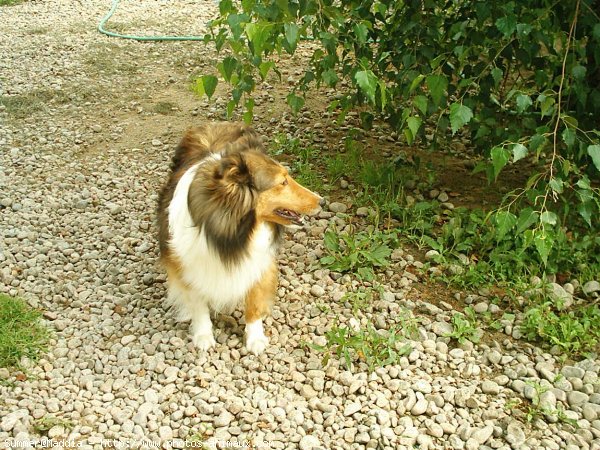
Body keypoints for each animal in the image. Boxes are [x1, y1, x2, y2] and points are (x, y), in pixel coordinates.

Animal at [156, 121, 324, 354]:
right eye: (282, 182)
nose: (322, 201)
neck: (234, 234)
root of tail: (216, 123)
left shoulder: (258, 261)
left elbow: (254, 302)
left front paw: (255, 339)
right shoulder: (188, 267)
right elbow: (198, 304)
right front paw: (203, 335)